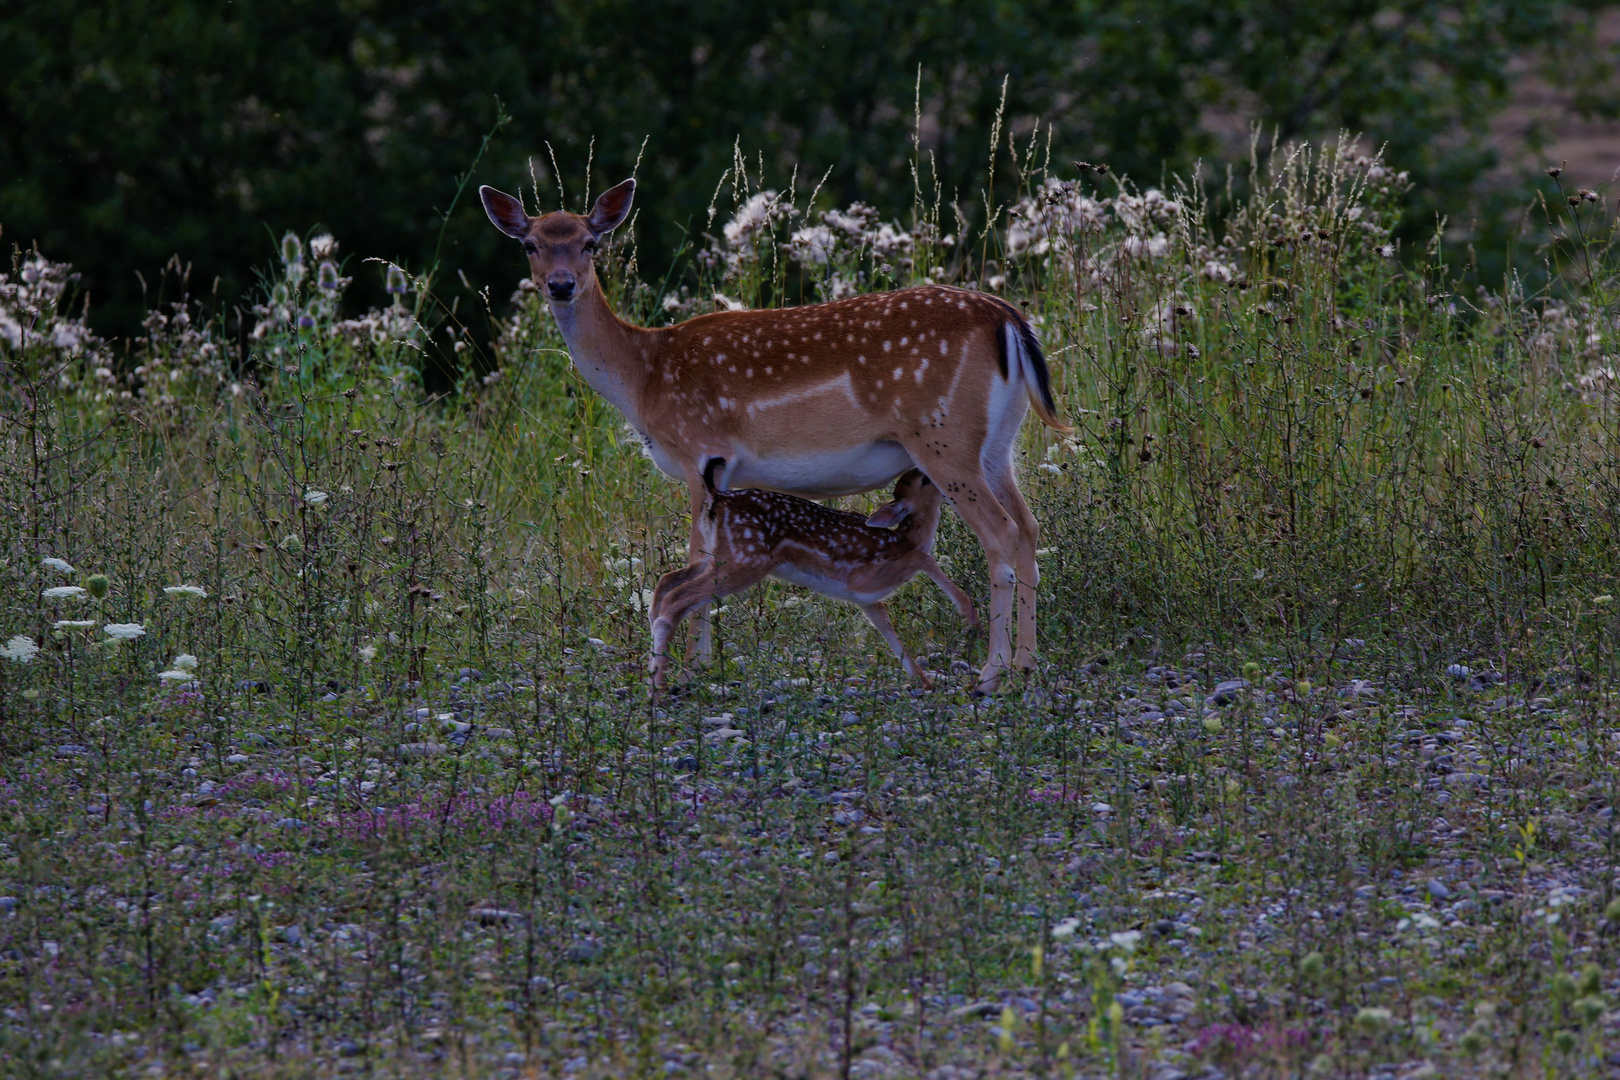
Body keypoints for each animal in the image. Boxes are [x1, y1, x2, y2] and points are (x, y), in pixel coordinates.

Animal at [479, 173, 1062, 689]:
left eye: (591, 243)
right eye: (530, 245)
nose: (560, 285)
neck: (644, 377)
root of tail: (1009, 319)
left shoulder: (699, 454)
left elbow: (696, 558)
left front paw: (693, 670)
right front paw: (696, 666)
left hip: (943, 438)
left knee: (1001, 533)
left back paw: (991, 673)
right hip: (995, 443)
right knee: (1029, 526)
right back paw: (1027, 665)